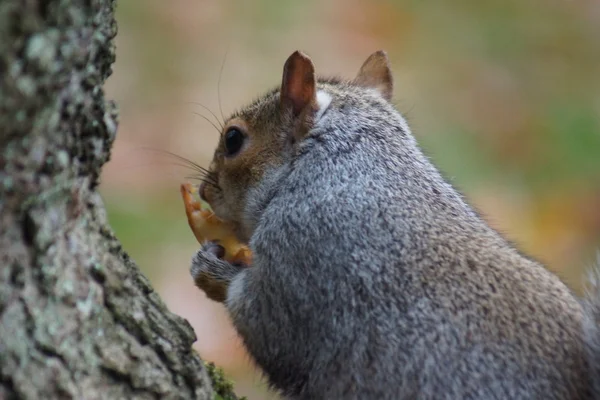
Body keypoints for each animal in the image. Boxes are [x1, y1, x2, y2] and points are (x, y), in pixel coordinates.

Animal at [191, 50, 600, 400]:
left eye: (233, 138)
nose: (203, 190)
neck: (346, 165)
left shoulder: (300, 255)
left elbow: (267, 326)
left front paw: (210, 268)